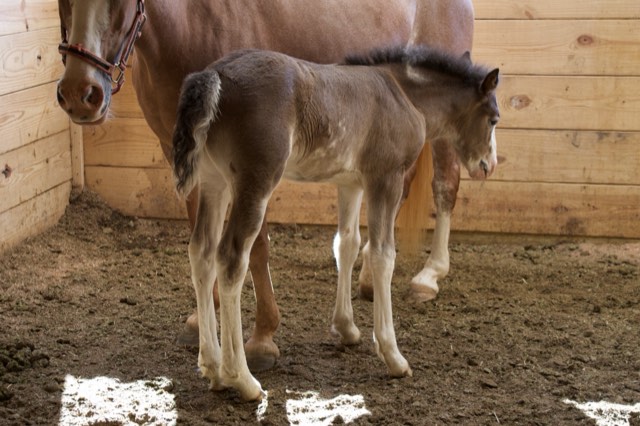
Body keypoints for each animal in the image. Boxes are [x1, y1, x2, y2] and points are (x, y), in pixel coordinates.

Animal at [55, 0, 475, 372]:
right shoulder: (186, 156)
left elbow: (255, 248)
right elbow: (200, 239)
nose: (80, 94)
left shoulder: (254, 165)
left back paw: (429, 276)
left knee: (446, 183)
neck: (190, 27)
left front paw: (261, 339)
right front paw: (201, 321)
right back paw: (371, 277)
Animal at [172, 46, 499, 400]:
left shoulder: (351, 183)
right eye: (493, 119)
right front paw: (393, 355)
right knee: (231, 260)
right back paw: (242, 379)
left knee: (201, 253)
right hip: (254, 181)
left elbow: (347, 244)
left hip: (213, 180)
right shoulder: (387, 178)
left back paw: (213, 369)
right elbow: (383, 255)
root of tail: (217, 73)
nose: (489, 165)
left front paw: (347, 328)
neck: (403, 93)